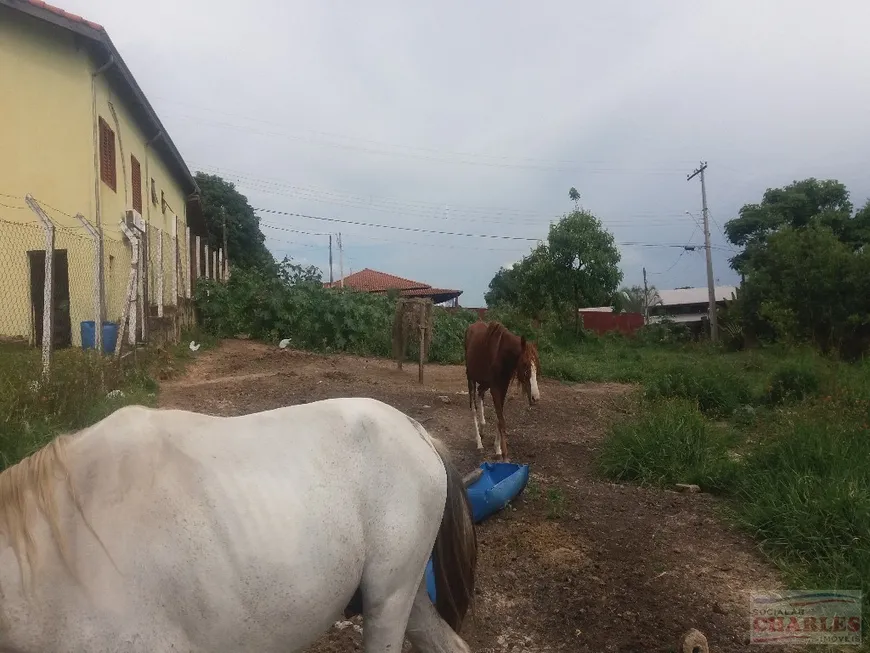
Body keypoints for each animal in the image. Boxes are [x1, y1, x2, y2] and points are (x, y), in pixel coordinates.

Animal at [464, 320, 540, 460]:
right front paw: (504, 454)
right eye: (525, 364)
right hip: (470, 378)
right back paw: (479, 442)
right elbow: (501, 419)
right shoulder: (495, 388)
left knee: (480, 392)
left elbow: (500, 419)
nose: (535, 397)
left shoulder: (503, 387)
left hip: (484, 382)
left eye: (536, 366)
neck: (501, 355)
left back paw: (482, 428)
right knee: (473, 407)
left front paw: (498, 448)